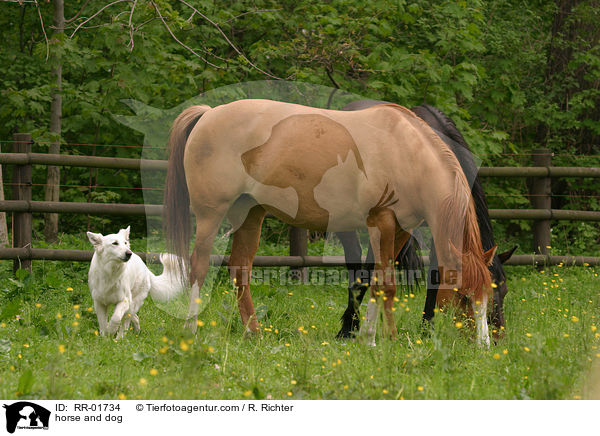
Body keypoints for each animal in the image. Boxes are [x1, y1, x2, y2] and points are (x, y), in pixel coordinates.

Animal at [165, 100, 496, 346]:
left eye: (490, 294)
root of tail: (209, 114)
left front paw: (368, 338)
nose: (482, 347)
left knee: (239, 270)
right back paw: (190, 330)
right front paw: (383, 339)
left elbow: (376, 280)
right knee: (199, 266)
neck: (406, 153)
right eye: (463, 296)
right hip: (210, 214)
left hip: (250, 215)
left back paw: (253, 333)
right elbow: (386, 284)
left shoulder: (401, 230)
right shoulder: (382, 223)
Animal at [336, 100, 516, 338]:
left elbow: (435, 277)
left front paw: (427, 329)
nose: (497, 338)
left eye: (503, 290)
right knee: (355, 261)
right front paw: (349, 327)